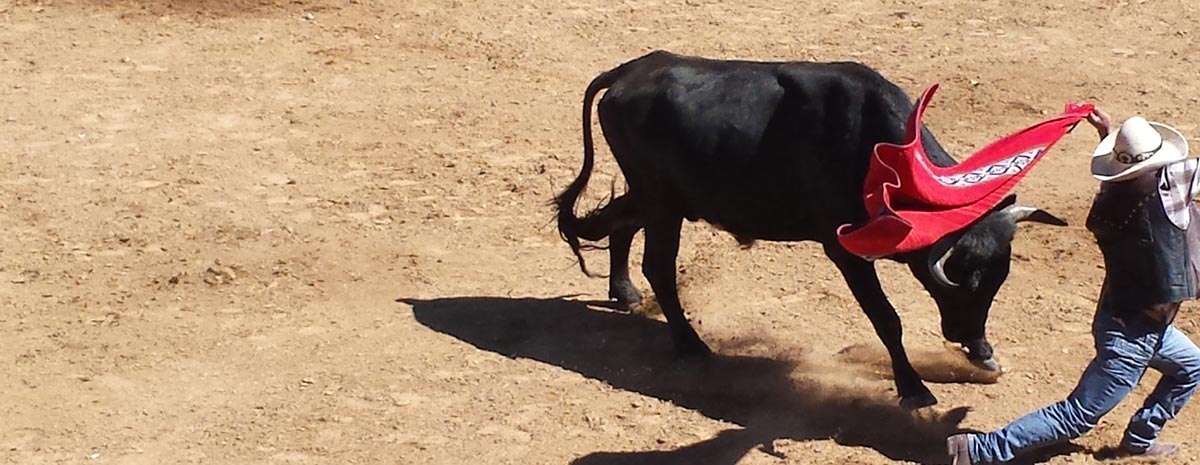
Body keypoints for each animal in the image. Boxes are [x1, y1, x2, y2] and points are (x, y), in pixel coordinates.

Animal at [552, 50, 1070, 407]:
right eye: (965, 283)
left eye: (998, 282)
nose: (978, 349)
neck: (878, 153)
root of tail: (629, 71)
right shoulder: (844, 250)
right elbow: (886, 318)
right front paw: (913, 388)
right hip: (662, 203)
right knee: (657, 264)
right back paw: (690, 344)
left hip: (663, 198)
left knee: (619, 225)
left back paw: (625, 293)